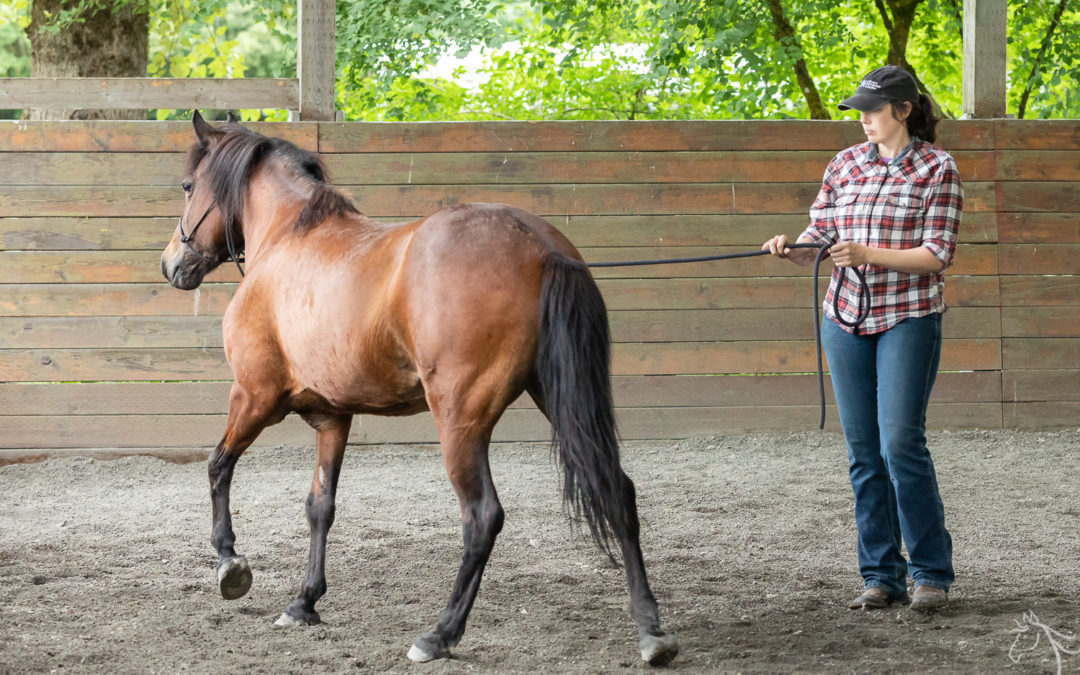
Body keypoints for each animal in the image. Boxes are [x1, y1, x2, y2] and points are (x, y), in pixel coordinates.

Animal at [159, 111, 678, 665]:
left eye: (188, 186)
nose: (171, 264)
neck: (288, 237)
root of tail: (541, 246)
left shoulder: (254, 396)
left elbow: (218, 466)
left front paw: (229, 562)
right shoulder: (332, 418)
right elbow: (320, 507)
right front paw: (304, 602)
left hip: (460, 418)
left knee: (482, 517)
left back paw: (440, 633)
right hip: (558, 399)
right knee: (617, 491)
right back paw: (651, 629)